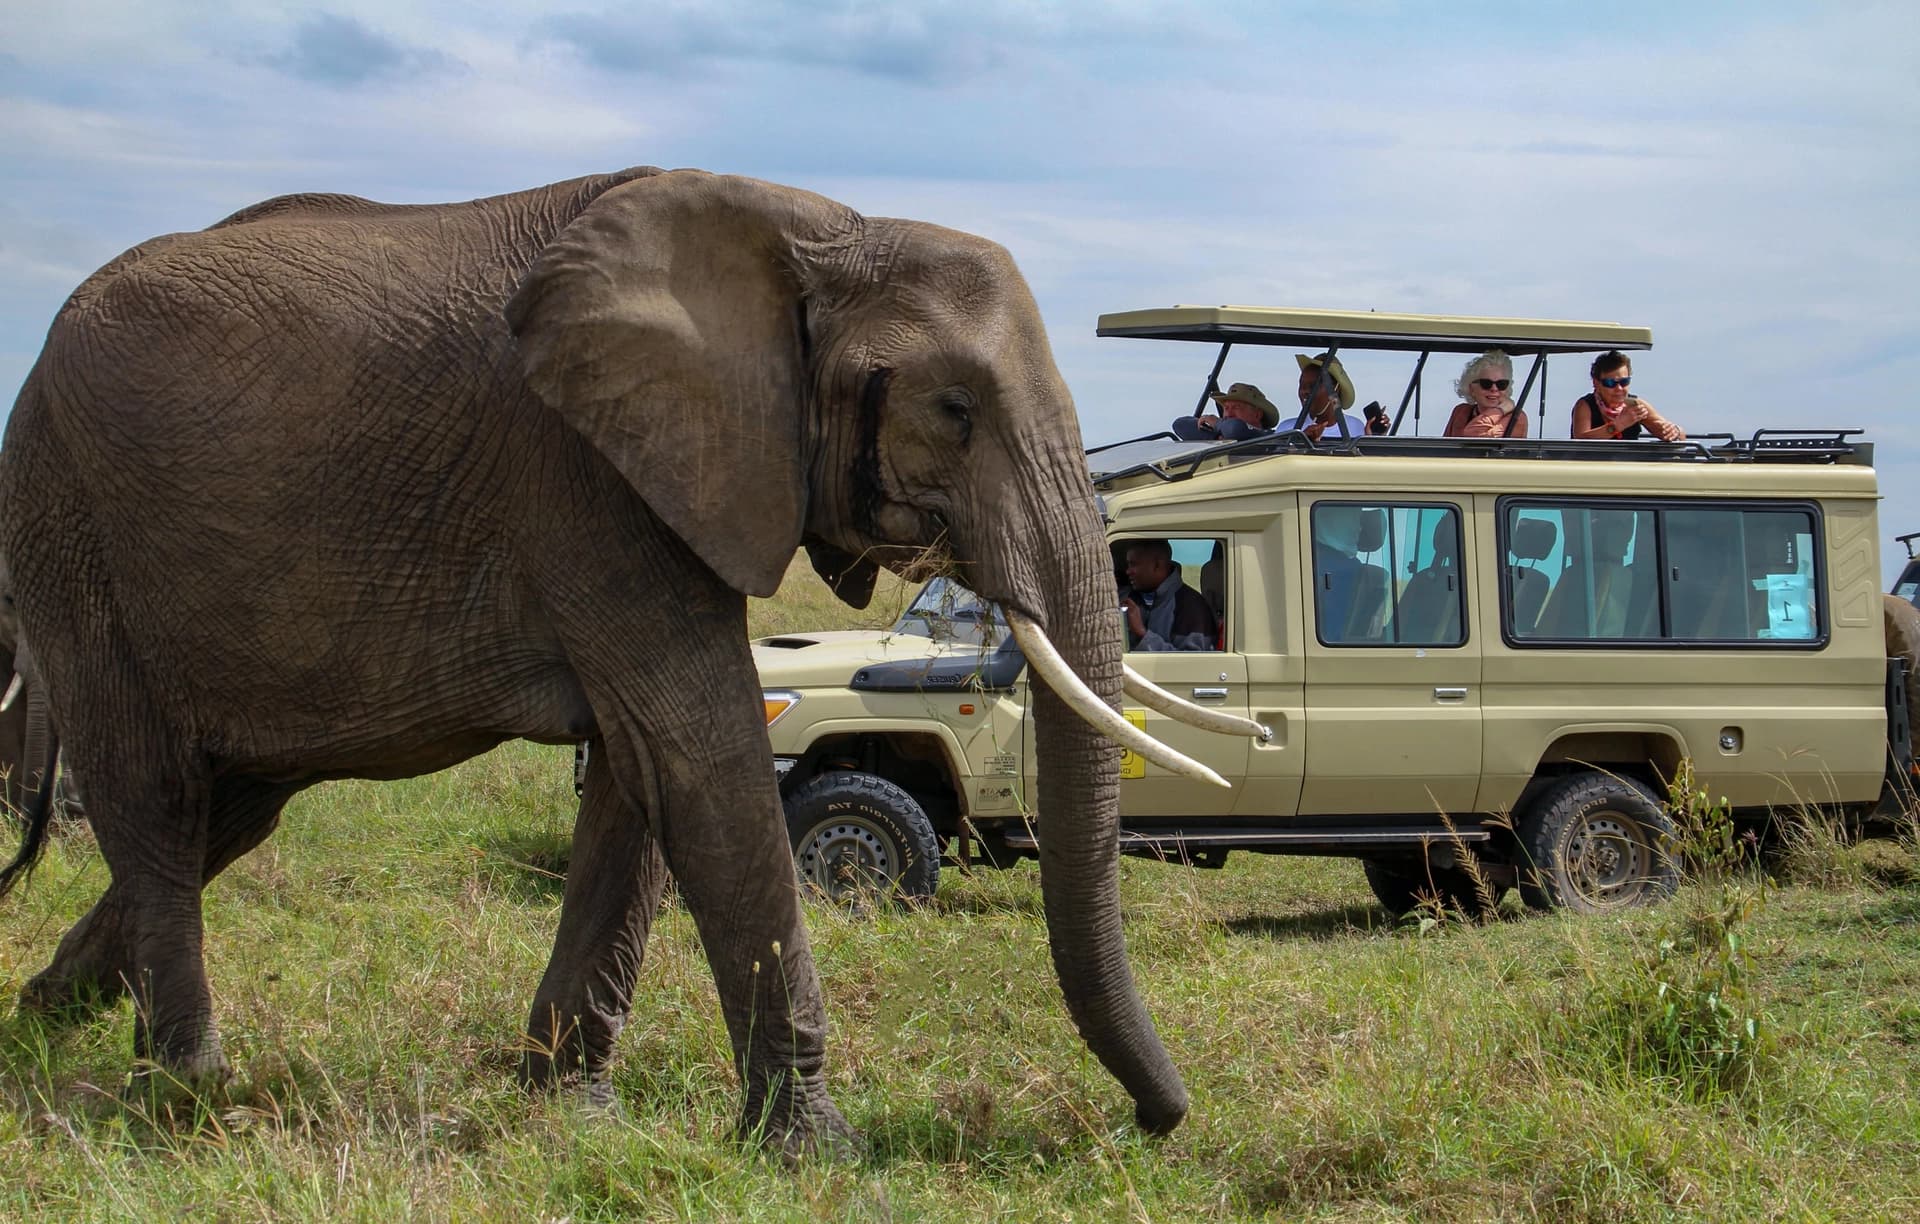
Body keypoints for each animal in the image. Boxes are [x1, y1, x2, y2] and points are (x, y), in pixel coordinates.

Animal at [0, 167, 1244, 1154]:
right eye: (953, 408)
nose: (1153, 1125)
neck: (821, 228)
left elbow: (638, 774)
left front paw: (570, 1112)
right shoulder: (587, 475)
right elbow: (700, 749)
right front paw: (820, 1152)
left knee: (232, 809)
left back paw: (40, 1020)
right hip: (74, 533)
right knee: (155, 797)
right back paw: (188, 1097)